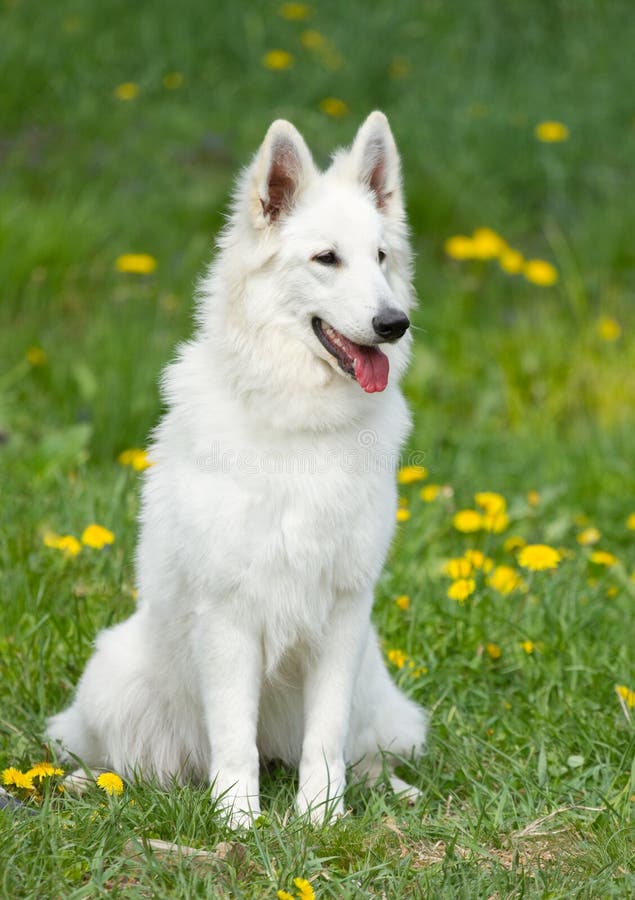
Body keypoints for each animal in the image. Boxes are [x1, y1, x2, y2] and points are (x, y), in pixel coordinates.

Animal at [47, 109, 428, 828]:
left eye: (380, 258)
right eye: (326, 258)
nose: (394, 323)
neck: (301, 425)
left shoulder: (343, 614)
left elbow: (325, 736)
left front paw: (320, 817)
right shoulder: (229, 618)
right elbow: (232, 737)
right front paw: (239, 821)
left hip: (374, 681)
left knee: (364, 747)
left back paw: (389, 790)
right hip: (115, 674)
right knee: (129, 760)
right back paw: (90, 784)